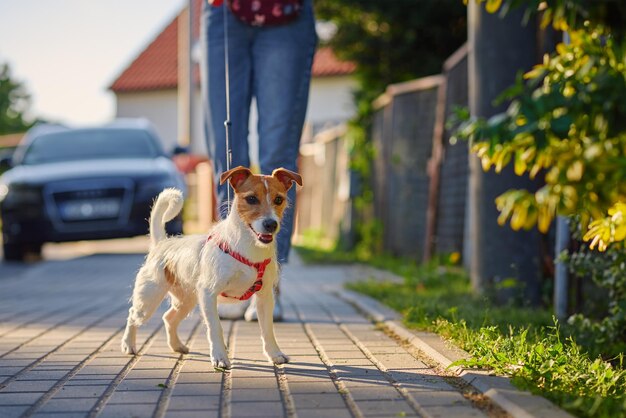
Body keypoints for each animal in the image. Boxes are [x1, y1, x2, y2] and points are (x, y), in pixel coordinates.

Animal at [120, 165, 302, 368]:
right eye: (251, 199)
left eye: (279, 199)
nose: (271, 224)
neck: (247, 248)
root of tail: (161, 244)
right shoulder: (208, 294)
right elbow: (215, 327)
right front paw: (220, 357)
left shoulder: (264, 297)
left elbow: (268, 329)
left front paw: (274, 354)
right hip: (149, 300)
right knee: (133, 315)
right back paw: (128, 345)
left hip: (186, 301)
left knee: (169, 318)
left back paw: (177, 346)